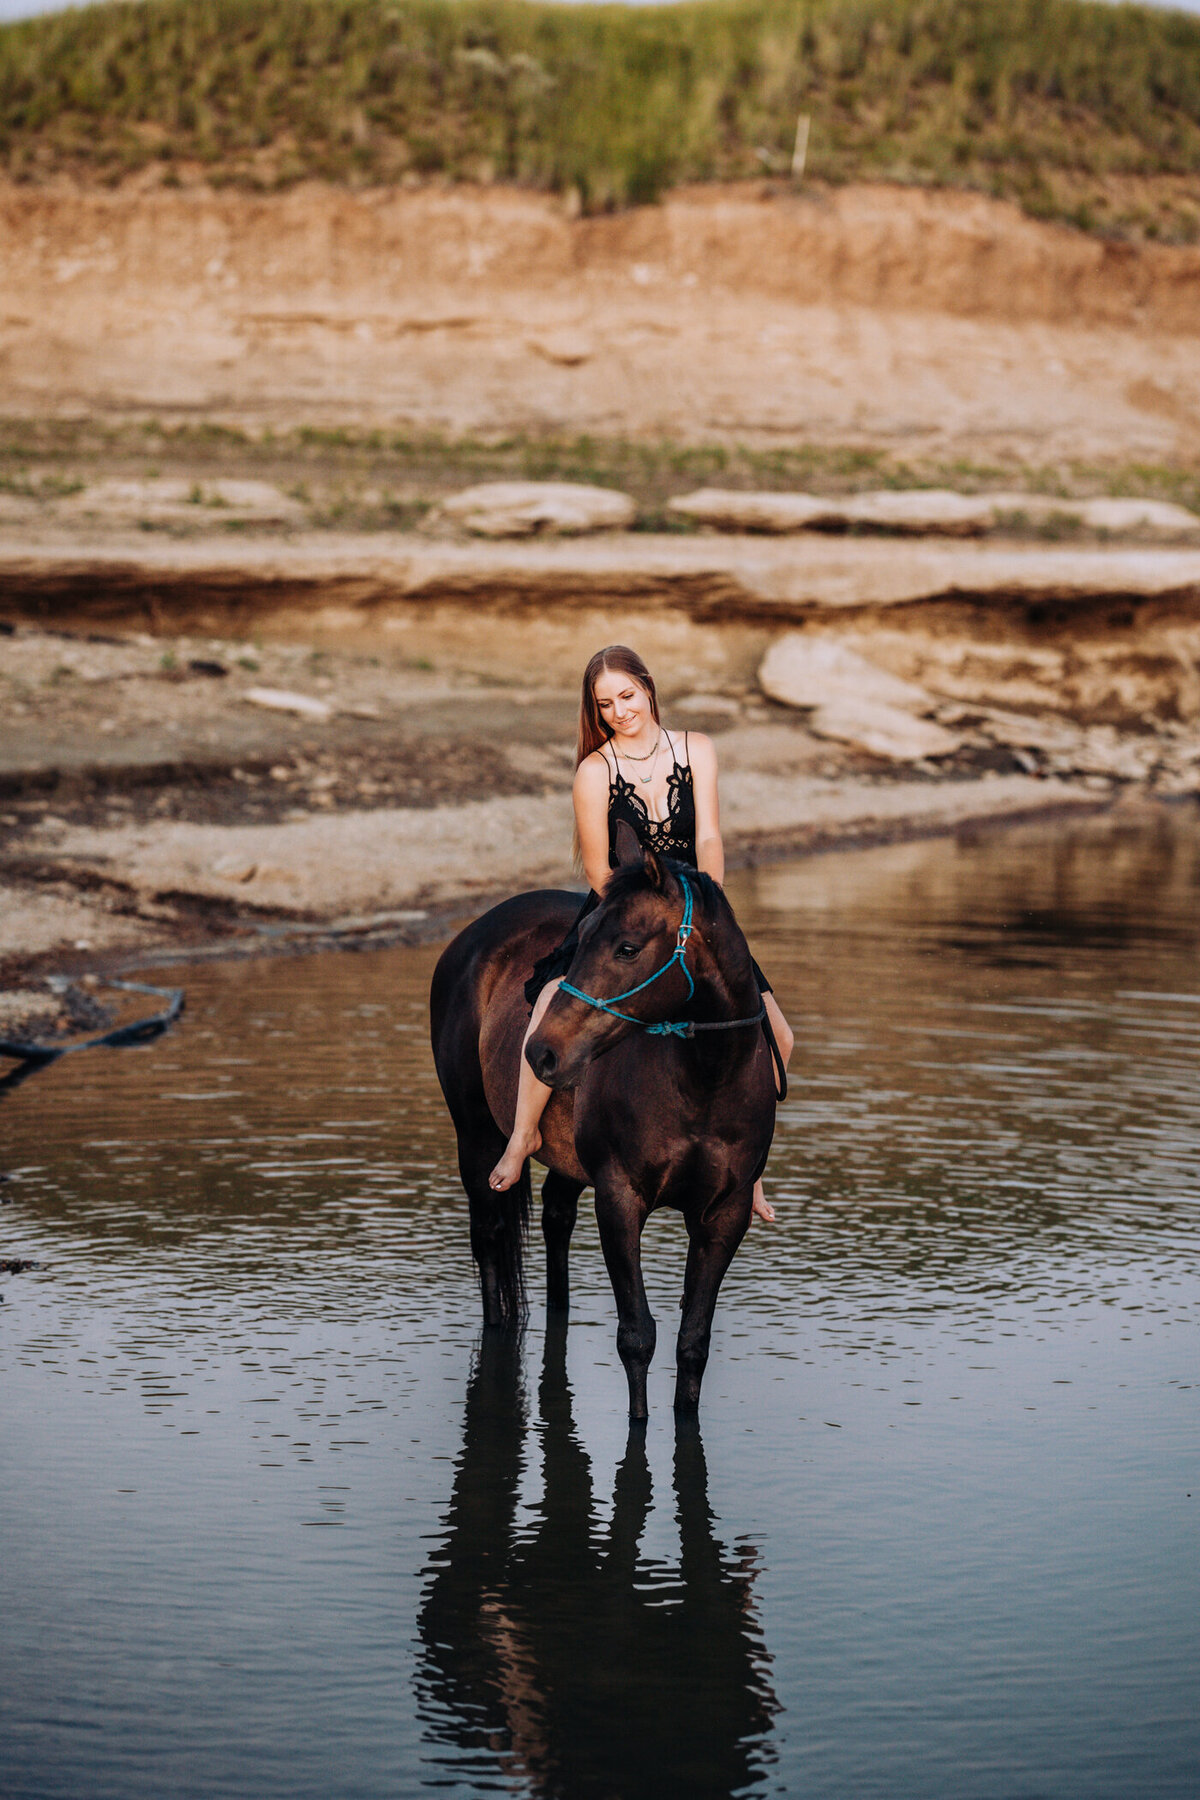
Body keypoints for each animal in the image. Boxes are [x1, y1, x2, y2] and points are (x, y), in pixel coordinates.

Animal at [431, 828, 780, 1418]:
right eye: (586, 937)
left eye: (628, 948)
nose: (540, 1053)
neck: (703, 1080)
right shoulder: (620, 1200)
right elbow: (637, 1337)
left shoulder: (724, 1214)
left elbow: (693, 1342)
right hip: (476, 1137)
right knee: (489, 1235)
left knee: (555, 1219)